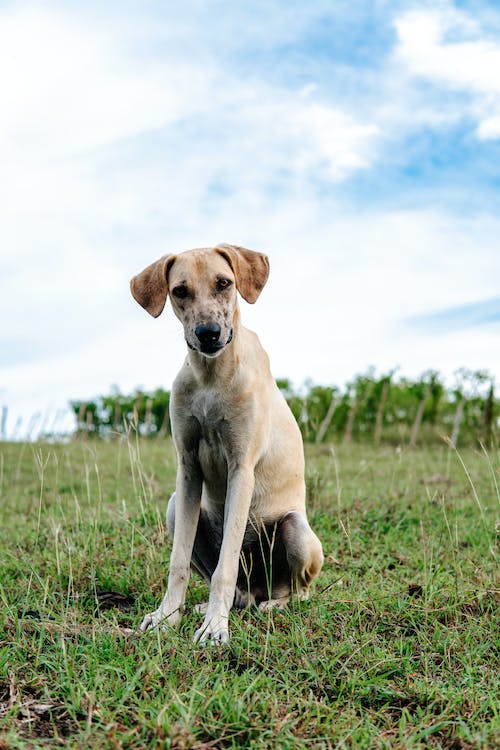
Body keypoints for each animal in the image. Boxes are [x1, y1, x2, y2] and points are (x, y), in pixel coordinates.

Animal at [131, 247, 322, 648]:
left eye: (224, 283)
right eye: (180, 290)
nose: (208, 334)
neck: (210, 377)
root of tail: (255, 592)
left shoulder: (242, 468)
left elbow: (227, 562)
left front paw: (215, 627)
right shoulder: (187, 470)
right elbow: (177, 562)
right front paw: (167, 616)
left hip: (295, 528)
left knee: (298, 591)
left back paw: (274, 605)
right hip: (174, 508)